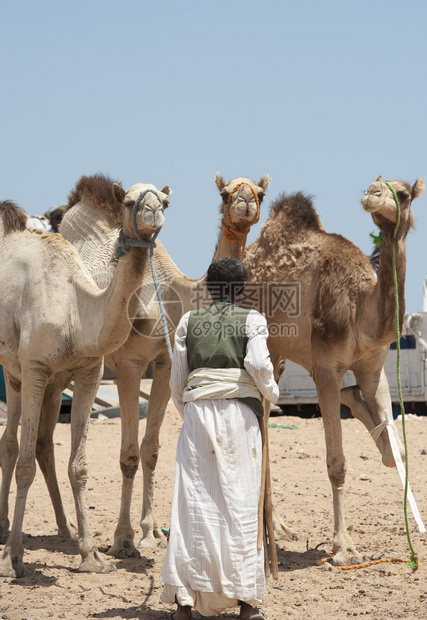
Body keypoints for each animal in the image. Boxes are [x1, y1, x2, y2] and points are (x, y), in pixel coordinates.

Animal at [0, 182, 171, 580]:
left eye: (165, 200)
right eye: (129, 201)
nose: (153, 211)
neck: (74, 311)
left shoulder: (89, 371)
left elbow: (78, 467)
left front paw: (91, 555)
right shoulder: (34, 369)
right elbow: (25, 467)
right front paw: (13, 559)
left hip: (37, 381)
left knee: (33, 443)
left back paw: (63, 529)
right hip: (14, 372)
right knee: (12, 445)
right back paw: (3, 533)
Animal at [242, 176, 426, 568]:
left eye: (404, 194)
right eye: (379, 186)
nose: (373, 193)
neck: (361, 308)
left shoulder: (374, 368)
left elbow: (395, 451)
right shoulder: (326, 368)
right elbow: (337, 462)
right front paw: (344, 546)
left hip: (277, 355)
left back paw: (277, 528)